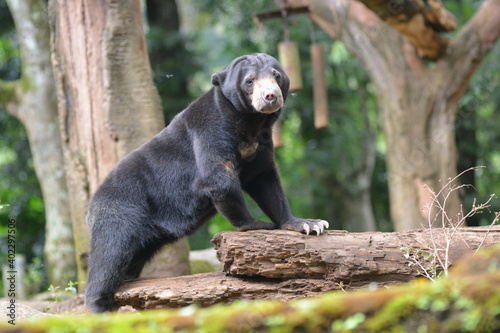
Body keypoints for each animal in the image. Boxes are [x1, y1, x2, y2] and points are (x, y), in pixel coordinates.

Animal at [85, 53, 328, 312]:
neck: (250, 122)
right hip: (121, 211)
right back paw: (99, 305)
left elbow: (265, 180)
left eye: (277, 75)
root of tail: (91, 206)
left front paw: (309, 224)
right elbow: (218, 178)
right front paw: (258, 224)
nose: (270, 96)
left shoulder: (261, 143)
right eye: (249, 80)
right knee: (110, 255)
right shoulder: (210, 128)